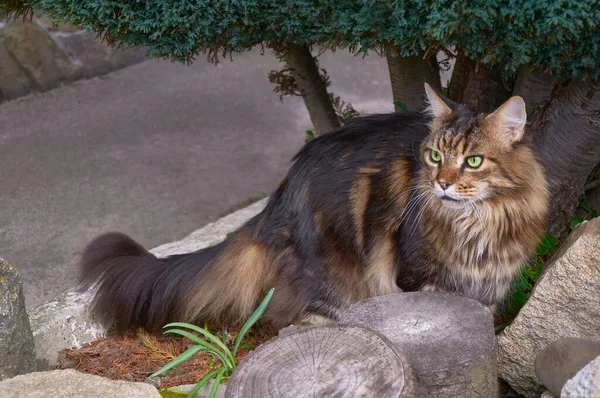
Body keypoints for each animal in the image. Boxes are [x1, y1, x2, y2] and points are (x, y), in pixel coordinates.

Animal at [79, 84, 548, 330]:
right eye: (434, 156)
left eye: (473, 161)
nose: (442, 183)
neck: (479, 223)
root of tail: (275, 203)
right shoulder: (417, 279)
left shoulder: (487, 293)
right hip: (334, 291)